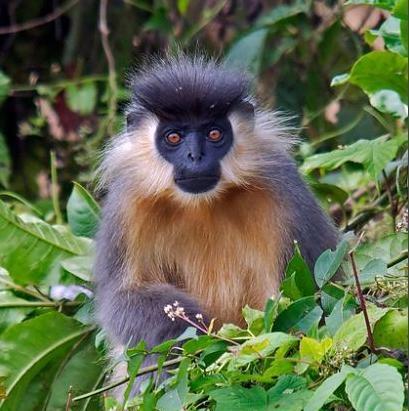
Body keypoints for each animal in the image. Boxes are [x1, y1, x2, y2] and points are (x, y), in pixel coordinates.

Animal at [93, 54, 338, 380]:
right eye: (174, 136)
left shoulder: (284, 188)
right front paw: (195, 328)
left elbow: (315, 290)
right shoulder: (127, 206)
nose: (195, 156)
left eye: (214, 133)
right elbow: (119, 299)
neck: (201, 205)